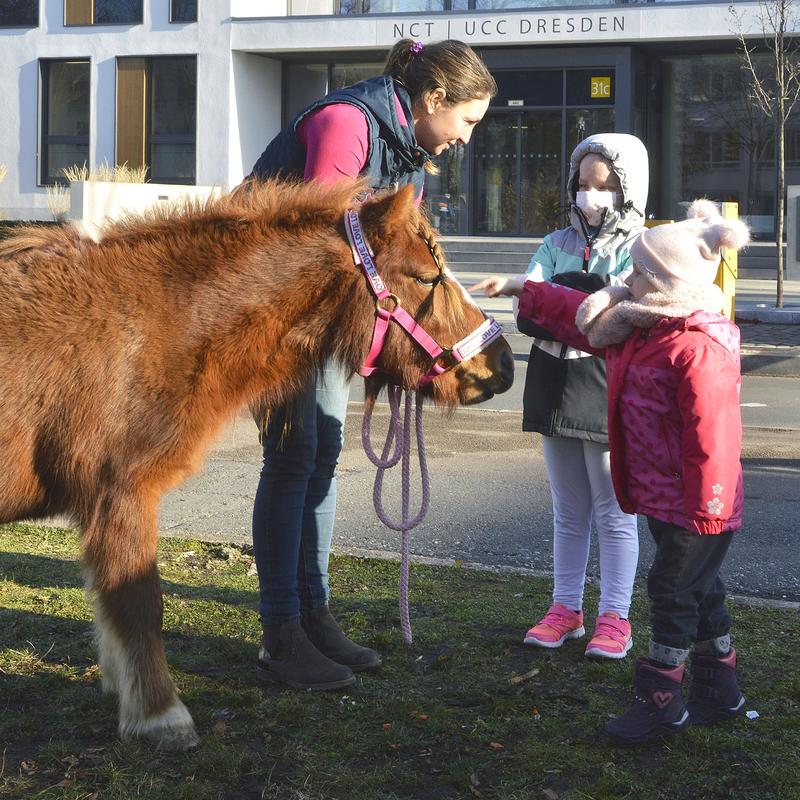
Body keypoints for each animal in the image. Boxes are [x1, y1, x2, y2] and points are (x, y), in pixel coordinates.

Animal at [0, 180, 512, 752]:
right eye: (425, 277)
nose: (504, 365)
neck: (142, 326)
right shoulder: (120, 493)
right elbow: (138, 603)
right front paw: (160, 716)